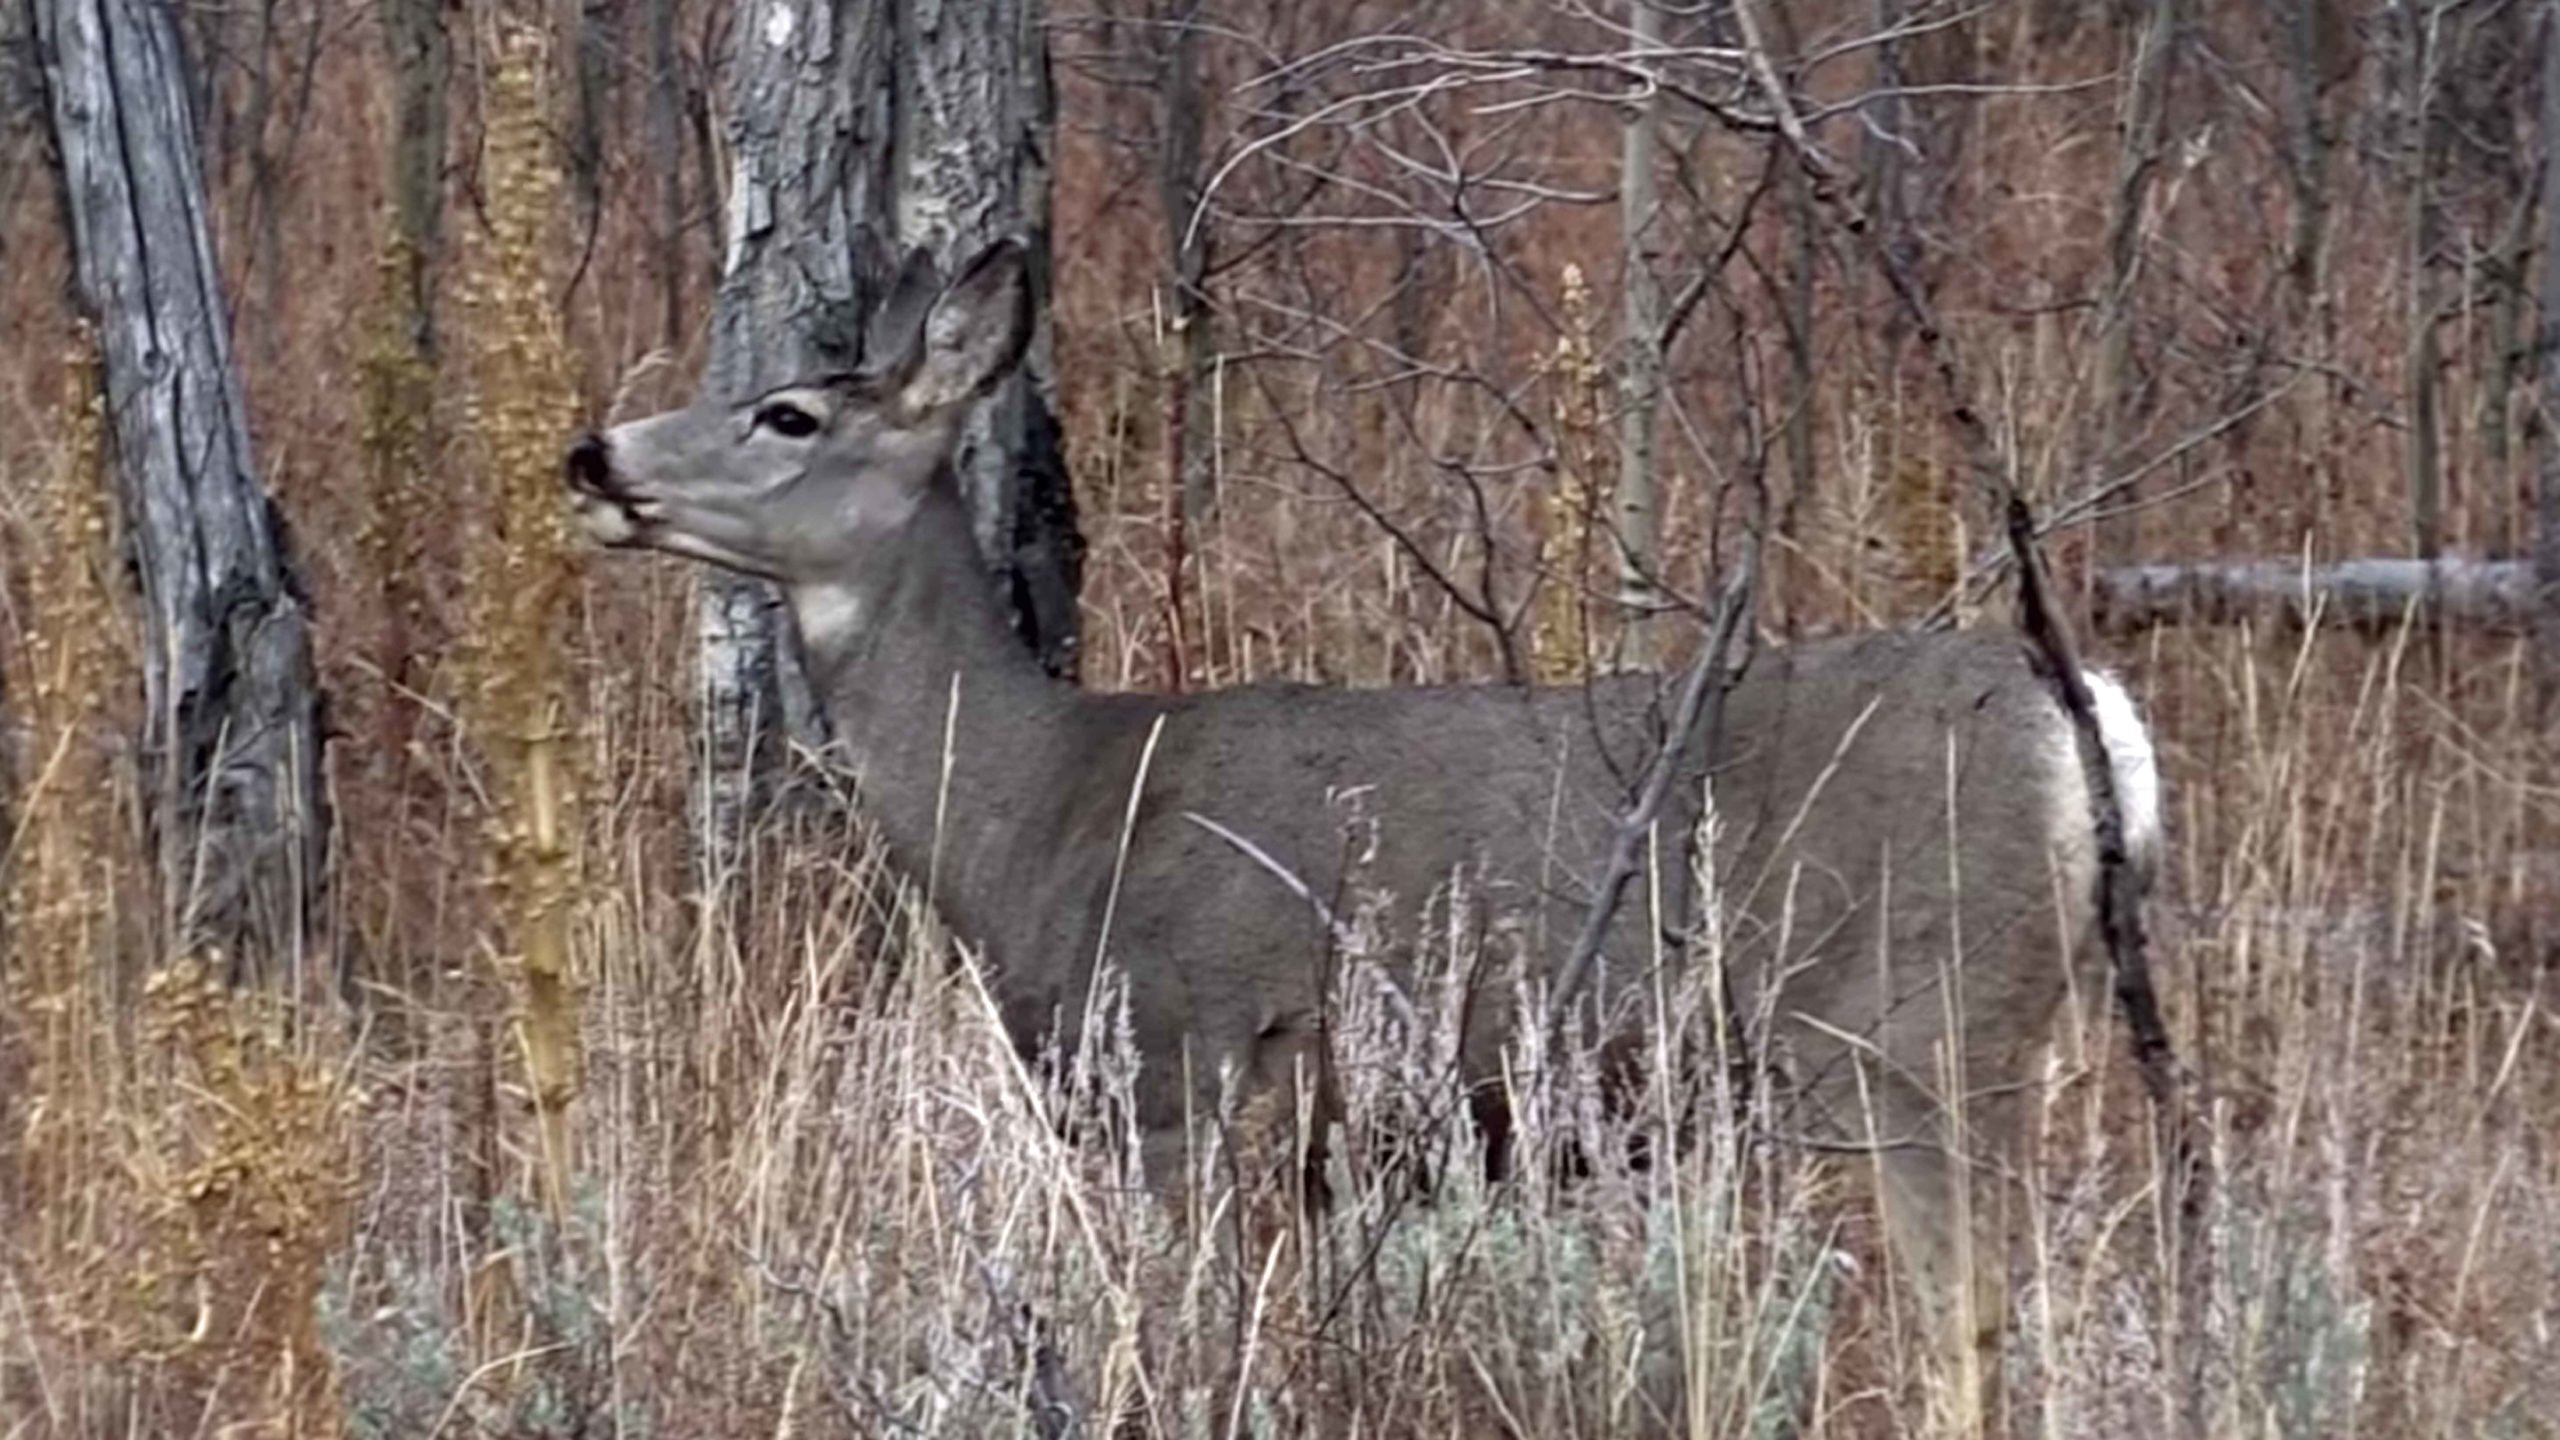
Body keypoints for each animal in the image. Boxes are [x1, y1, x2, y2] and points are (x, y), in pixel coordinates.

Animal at [565, 238, 2163, 1419]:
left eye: (789, 414)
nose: (591, 453)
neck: (1044, 815)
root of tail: (2083, 723)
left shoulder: (1192, 1077)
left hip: (1921, 1036)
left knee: (1977, 1334)